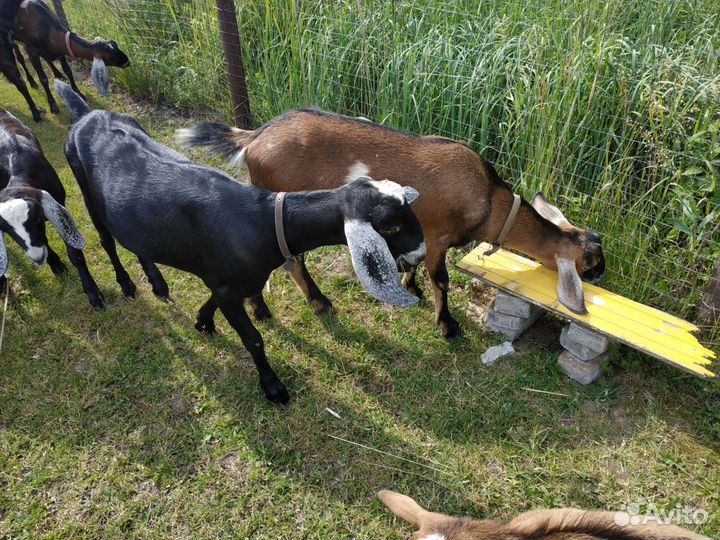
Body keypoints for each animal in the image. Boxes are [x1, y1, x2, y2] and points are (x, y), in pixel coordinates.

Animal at [0, 107, 102, 306]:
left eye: (36, 219)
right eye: (6, 230)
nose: (37, 257)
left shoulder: (59, 203)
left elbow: (75, 254)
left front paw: (93, 293)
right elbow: (45, 242)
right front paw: (56, 264)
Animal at [56, 81, 425, 404]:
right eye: (390, 224)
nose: (421, 253)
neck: (263, 222)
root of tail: (87, 114)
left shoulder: (231, 281)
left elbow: (215, 301)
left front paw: (202, 322)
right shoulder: (227, 285)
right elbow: (254, 340)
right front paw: (273, 388)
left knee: (137, 244)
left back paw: (158, 284)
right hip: (88, 196)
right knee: (106, 241)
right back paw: (121, 286)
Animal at [177, 110, 605, 340]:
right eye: (591, 259)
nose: (600, 274)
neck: (489, 200)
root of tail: (253, 137)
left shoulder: (423, 231)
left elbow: (414, 261)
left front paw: (407, 283)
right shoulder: (439, 234)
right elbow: (440, 279)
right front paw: (447, 325)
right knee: (290, 258)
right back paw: (311, 303)